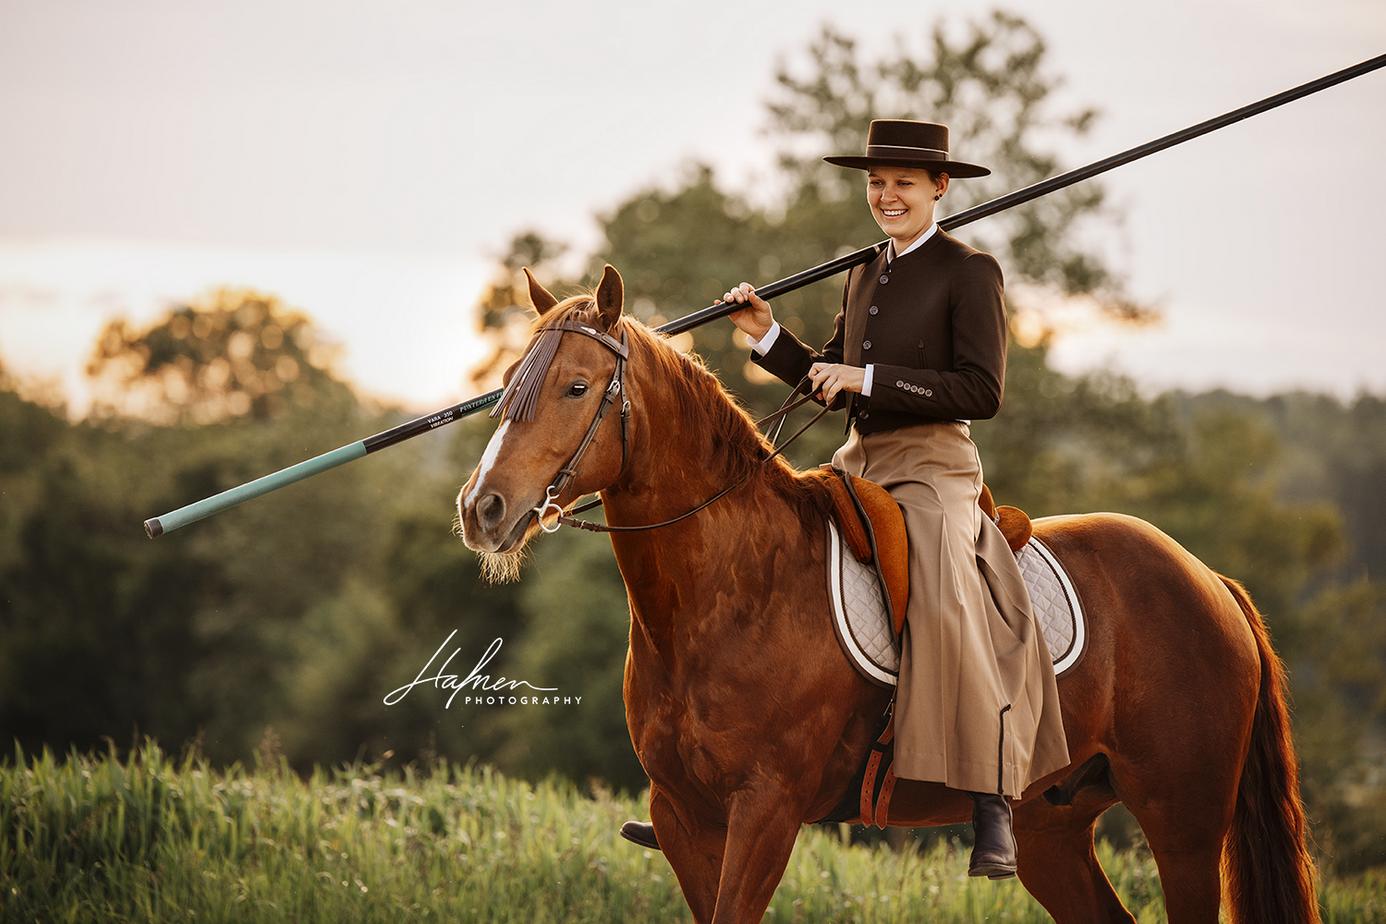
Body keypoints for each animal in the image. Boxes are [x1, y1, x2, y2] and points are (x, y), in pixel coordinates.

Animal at [457, 264, 1319, 924]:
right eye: (505, 386)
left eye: (576, 387)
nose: (481, 508)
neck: (732, 592)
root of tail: (1209, 580)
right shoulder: (683, 816)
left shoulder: (766, 811)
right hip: (1054, 827)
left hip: (1183, 820)